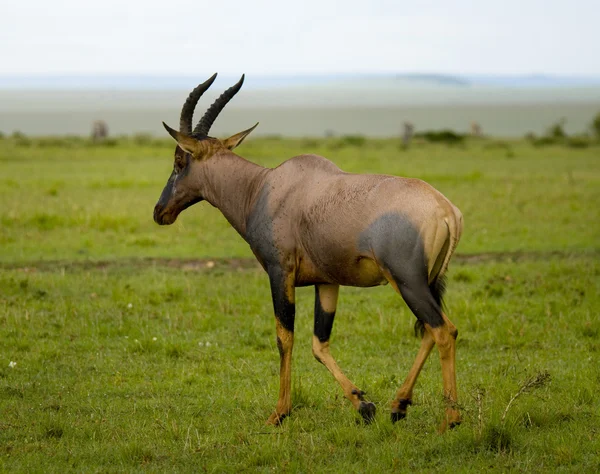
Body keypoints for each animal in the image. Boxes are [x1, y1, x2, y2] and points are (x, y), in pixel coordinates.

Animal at [154, 73, 464, 430]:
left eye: (179, 160)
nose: (160, 212)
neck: (265, 188)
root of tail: (447, 211)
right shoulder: (326, 281)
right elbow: (320, 342)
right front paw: (364, 405)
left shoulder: (280, 273)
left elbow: (284, 337)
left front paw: (279, 413)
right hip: (426, 282)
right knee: (429, 330)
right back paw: (399, 405)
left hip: (407, 280)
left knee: (443, 330)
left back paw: (451, 418)